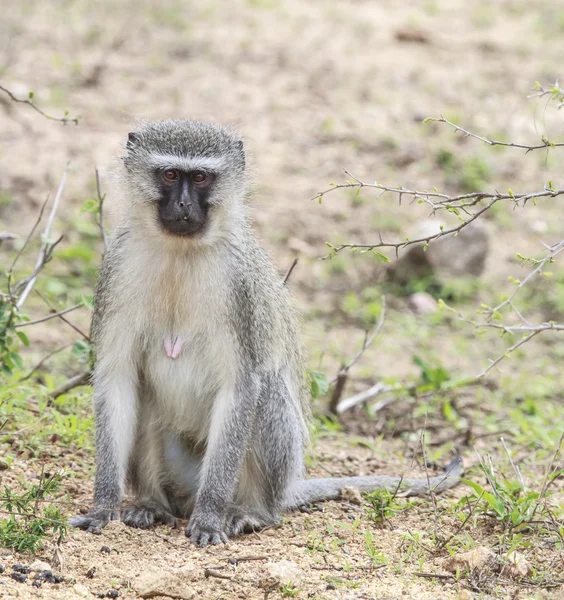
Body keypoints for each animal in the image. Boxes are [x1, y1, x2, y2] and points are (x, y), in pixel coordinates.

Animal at [69, 119, 462, 548]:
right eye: (170, 175)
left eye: (201, 177)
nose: (184, 206)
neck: (180, 253)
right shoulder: (117, 268)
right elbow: (118, 378)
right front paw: (104, 505)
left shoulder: (240, 287)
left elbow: (242, 384)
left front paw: (209, 517)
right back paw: (152, 504)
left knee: (268, 389)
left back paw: (249, 512)